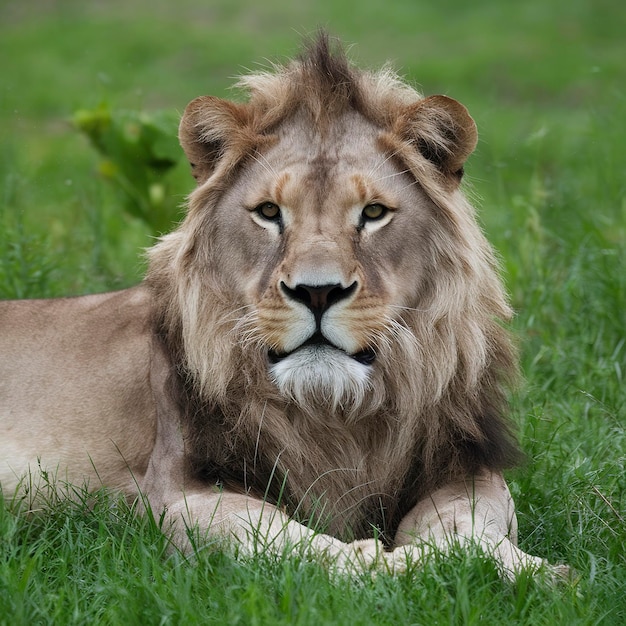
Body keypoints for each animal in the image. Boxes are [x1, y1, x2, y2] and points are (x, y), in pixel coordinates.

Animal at [1, 34, 564, 576]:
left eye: (374, 213)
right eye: (269, 212)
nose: (317, 292)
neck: (334, 413)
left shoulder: (464, 467)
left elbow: (468, 528)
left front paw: (531, 570)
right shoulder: (179, 490)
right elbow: (287, 542)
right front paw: (394, 563)